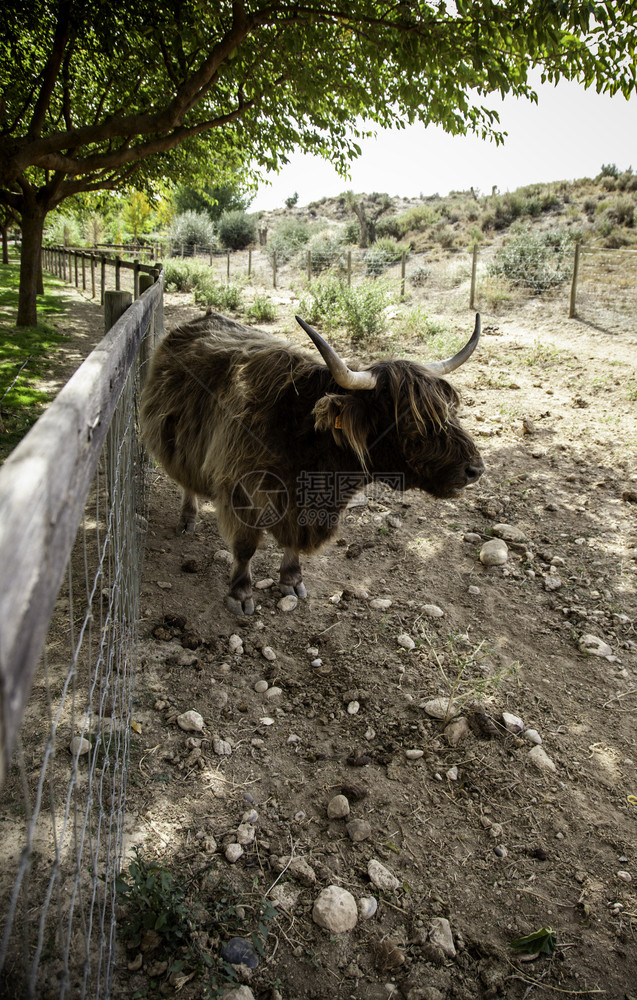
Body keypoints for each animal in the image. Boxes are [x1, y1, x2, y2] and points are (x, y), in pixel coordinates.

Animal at [142, 312, 482, 612]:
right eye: (411, 419)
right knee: (186, 480)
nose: (475, 469)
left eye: (450, 409)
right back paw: (188, 519)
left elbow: (293, 542)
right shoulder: (242, 491)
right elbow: (245, 547)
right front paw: (240, 594)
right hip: (175, 439)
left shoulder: (303, 507)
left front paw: (291, 581)